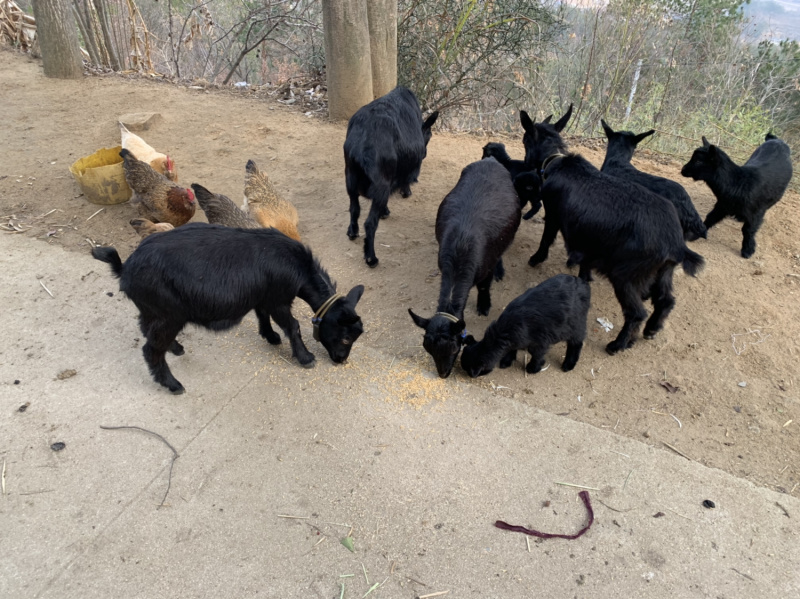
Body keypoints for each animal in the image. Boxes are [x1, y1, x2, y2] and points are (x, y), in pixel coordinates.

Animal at [92, 224, 364, 394]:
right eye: (346, 337)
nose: (341, 360)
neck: (301, 269)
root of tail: (124, 269)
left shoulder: (263, 297)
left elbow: (262, 315)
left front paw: (271, 337)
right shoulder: (278, 299)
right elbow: (293, 326)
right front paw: (305, 358)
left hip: (153, 311)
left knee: (147, 330)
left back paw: (176, 348)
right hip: (169, 315)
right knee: (150, 349)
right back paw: (172, 384)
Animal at [342, 86, 438, 268]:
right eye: (429, 135)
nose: (425, 154)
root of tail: (362, 142)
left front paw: (385, 211)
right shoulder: (403, 172)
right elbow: (405, 182)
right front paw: (405, 194)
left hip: (350, 178)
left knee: (354, 208)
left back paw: (352, 232)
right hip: (381, 184)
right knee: (370, 224)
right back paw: (371, 257)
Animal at [410, 157, 520, 378]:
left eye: (454, 348)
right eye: (427, 349)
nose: (443, 374)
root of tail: (490, 160)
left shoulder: (486, 266)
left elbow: (485, 286)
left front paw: (484, 305)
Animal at [460, 274, 592, 378]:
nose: (470, 376)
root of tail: (583, 284)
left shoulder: (540, 341)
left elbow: (537, 355)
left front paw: (533, 368)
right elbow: (512, 349)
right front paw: (507, 361)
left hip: (576, 325)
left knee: (576, 344)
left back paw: (568, 364)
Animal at [520, 107, 704, 354]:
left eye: (525, 140)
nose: (524, 162)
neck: (556, 162)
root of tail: (675, 242)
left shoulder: (553, 216)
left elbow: (546, 239)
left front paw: (535, 259)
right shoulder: (590, 239)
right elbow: (585, 261)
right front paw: (584, 277)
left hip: (625, 275)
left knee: (636, 313)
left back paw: (618, 344)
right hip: (663, 272)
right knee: (666, 301)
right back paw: (651, 330)